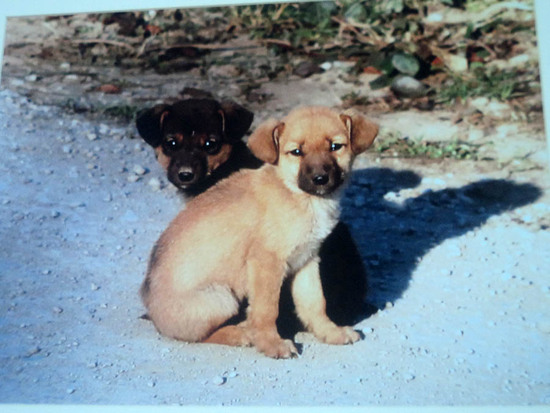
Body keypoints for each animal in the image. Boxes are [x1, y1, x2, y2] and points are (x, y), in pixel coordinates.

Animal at [140, 106, 380, 358]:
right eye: (296, 152)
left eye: (335, 146)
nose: (320, 179)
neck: (298, 196)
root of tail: (152, 314)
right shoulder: (267, 263)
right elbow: (267, 310)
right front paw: (271, 343)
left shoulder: (307, 260)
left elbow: (315, 303)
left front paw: (330, 332)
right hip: (221, 298)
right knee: (202, 335)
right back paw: (241, 333)